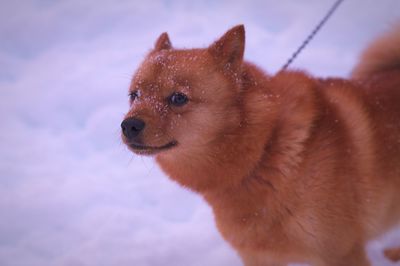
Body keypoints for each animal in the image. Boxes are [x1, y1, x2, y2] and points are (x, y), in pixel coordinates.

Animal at [122, 23, 400, 264]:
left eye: (178, 98)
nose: (128, 126)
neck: (264, 153)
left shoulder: (342, 253)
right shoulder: (257, 257)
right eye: (134, 95)